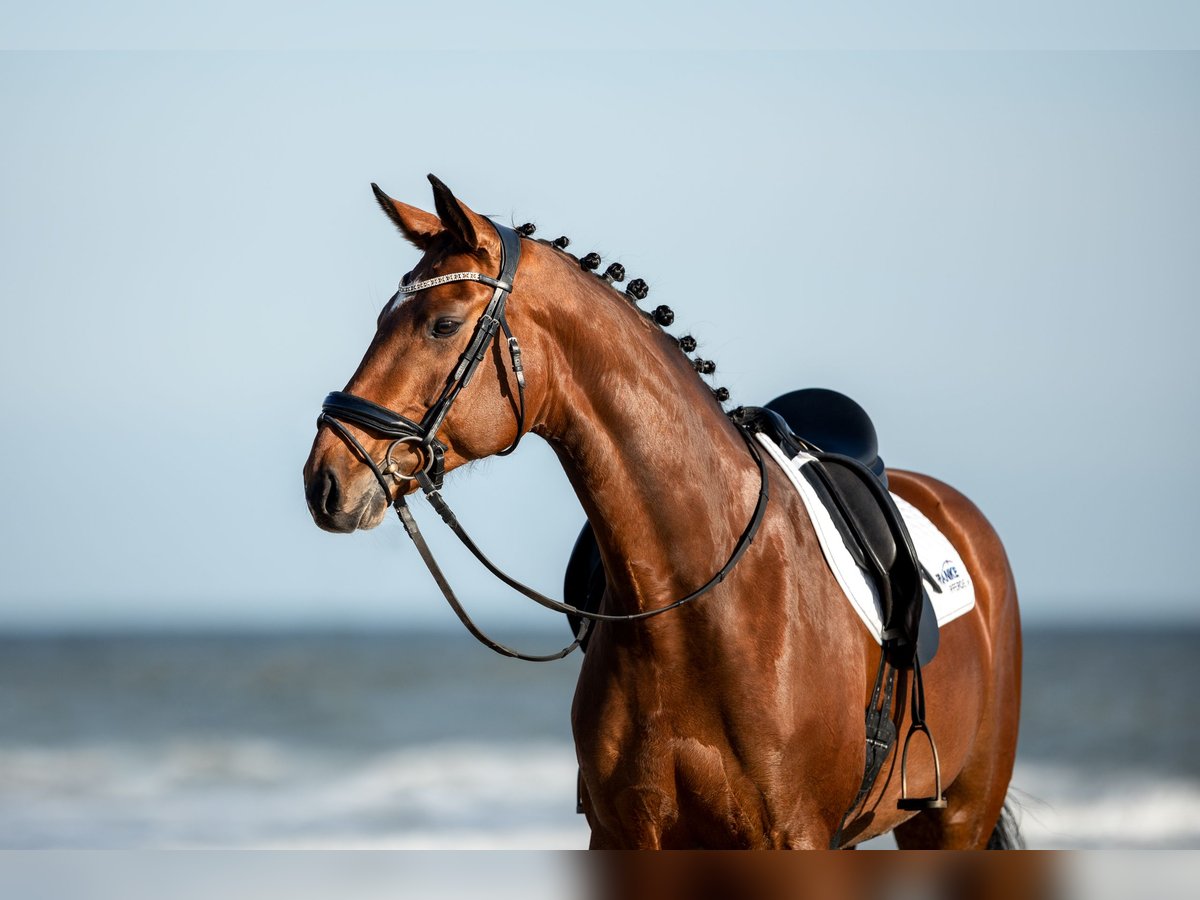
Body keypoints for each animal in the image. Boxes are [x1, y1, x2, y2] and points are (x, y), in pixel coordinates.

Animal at [302, 176, 1022, 854]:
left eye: (443, 325)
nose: (325, 480)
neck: (695, 605)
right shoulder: (625, 834)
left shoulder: (796, 837)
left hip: (957, 816)